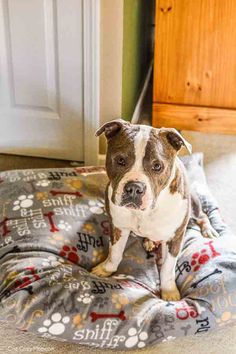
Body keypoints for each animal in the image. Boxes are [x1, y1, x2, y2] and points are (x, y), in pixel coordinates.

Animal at [91, 120, 218, 300]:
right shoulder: (118, 227)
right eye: (120, 160)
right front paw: (105, 269)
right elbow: (115, 253)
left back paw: (209, 230)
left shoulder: (175, 238)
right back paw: (149, 241)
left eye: (157, 166)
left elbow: (167, 269)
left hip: (193, 202)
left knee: (203, 215)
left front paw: (169, 291)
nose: (134, 188)